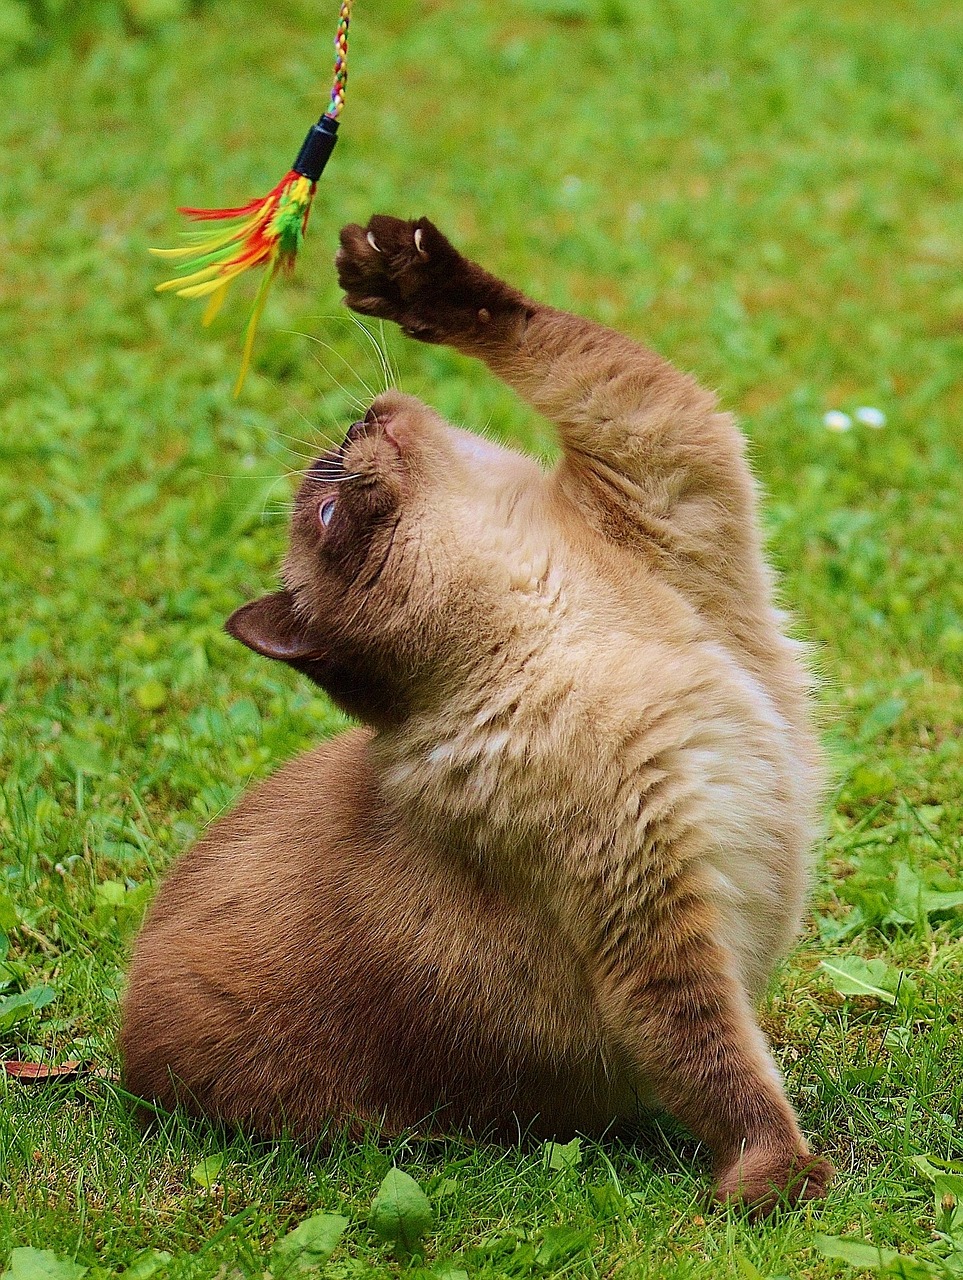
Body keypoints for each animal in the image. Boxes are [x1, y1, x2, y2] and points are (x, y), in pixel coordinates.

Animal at [118, 215, 829, 1213]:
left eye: (330, 486)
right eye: (329, 514)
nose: (356, 426)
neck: (549, 608)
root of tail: (120, 1047)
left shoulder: (666, 454)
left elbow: (558, 342)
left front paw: (398, 272)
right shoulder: (648, 921)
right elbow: (719, 1070)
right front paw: (776, 1184)